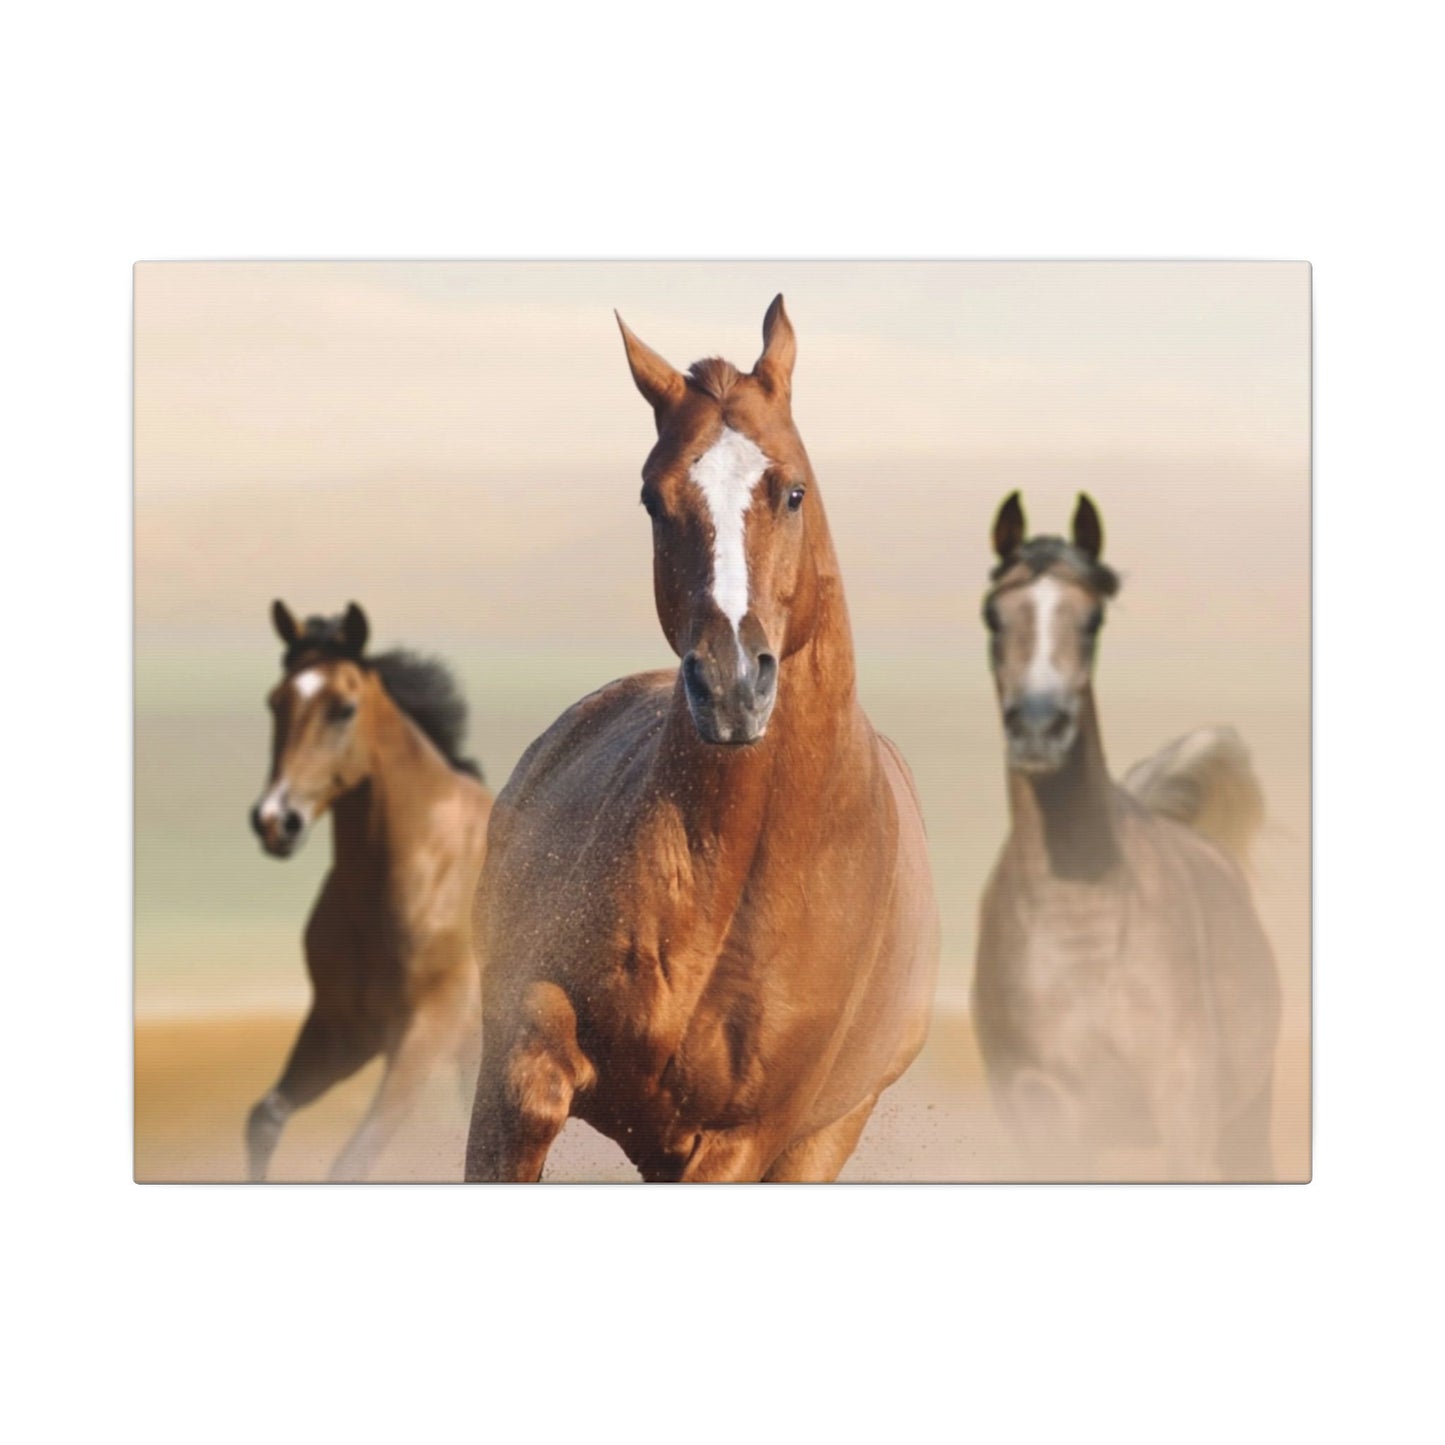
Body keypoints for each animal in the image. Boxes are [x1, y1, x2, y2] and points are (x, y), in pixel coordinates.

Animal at [246, 602, 492, 1180]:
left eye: (344, 709)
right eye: (276, 701)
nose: (275, 821)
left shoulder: (426, 1031)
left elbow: (352, 1159)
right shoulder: (343, 1029)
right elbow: (264, 1119)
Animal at [465, 296, 940, 1182]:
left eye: (792, 490)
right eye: (654, 499)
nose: (730, 684)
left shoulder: (740, 1137)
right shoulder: (523, 1055)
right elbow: (530, 1092)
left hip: (823, 1134)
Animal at [972, 492, 1281, 1180]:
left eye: (1092, 620)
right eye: (993, 617)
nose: (1039, 729)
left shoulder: (1185, 1109)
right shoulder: (1043, 1121)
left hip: (1247, 1124)